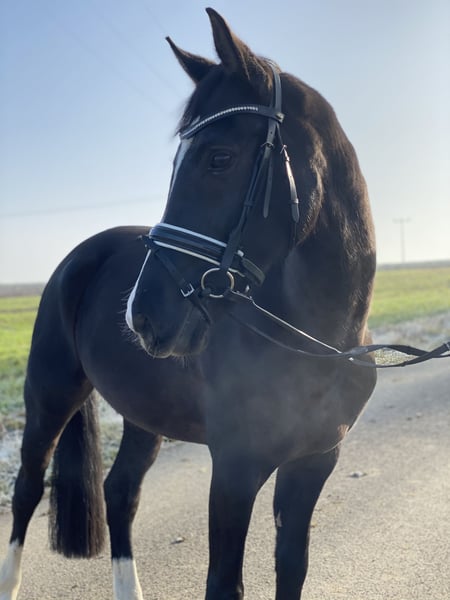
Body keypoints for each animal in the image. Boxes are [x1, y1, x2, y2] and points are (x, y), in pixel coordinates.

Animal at [0, 8, 377, 600]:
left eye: (219, 157)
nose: (143, 315)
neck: (319, 345)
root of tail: (79, 258)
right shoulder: (235, 471)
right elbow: (224, 583)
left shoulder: (313, 464)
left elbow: (292, 567)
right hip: (48, 397)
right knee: (27, 489)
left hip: (142, 412)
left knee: (120, 491)